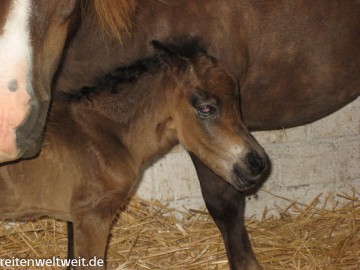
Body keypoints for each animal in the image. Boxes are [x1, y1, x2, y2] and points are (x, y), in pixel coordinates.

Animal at [0, 40, 268, 270]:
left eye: (237, 103)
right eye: (206, 108)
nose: (256, 163)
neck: (107, 132)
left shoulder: (77, 219)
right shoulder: (92, 217)